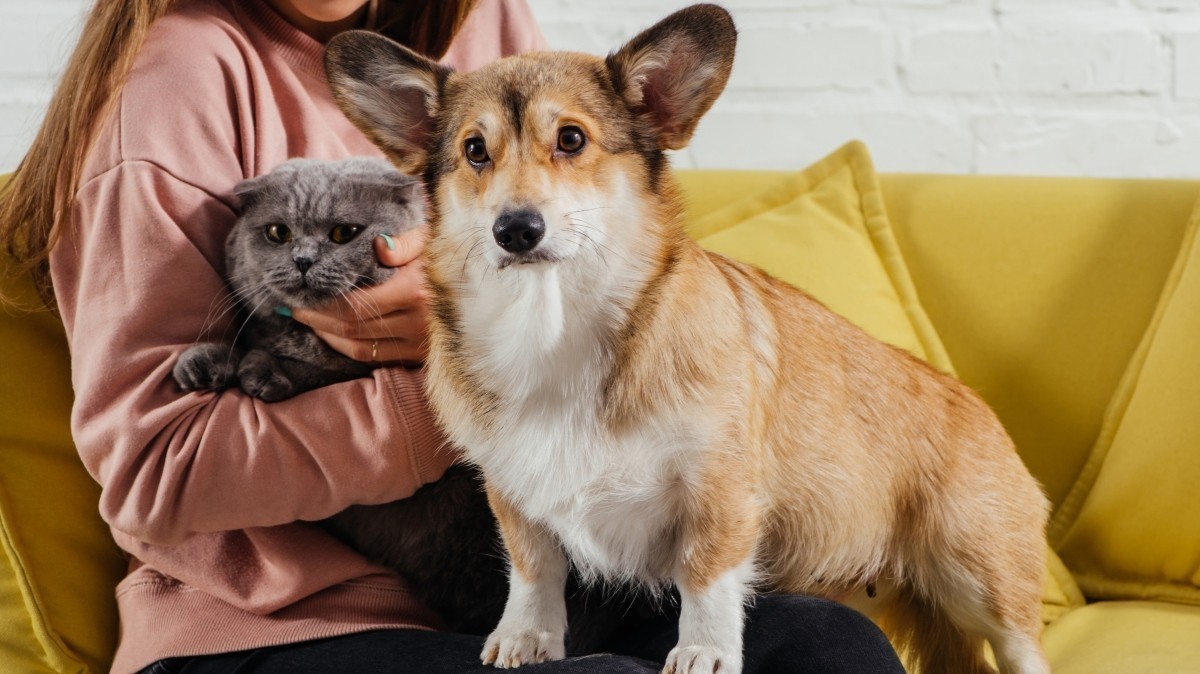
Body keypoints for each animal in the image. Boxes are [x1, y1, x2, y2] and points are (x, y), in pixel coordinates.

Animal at [169, 155, 648, 638]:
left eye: (344, 233)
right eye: (277, 233)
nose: (303, 259)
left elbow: (309, 368)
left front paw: (261, 371)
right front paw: (202, 363)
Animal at [326, 6, 1051, 671]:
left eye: (571, 139)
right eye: (475, 150)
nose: (516, 229)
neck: (554, 329)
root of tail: (980, 408)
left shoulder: (719, 490)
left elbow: (705, 576)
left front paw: (704, 650)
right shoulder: (513, 493)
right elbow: (534, 569)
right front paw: (527, 636)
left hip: (982, 580)